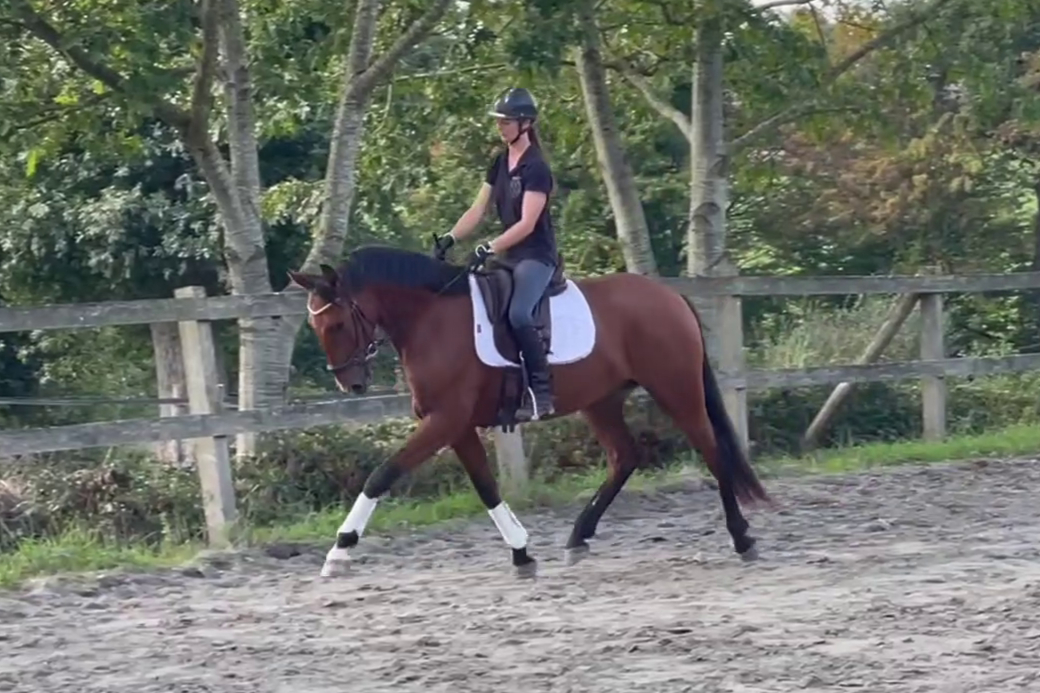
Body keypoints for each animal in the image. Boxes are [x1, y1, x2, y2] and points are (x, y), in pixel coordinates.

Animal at [287, 244, 770, 578]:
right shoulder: (455, 426)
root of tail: (669, 295)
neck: (430, 319)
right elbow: (485, 486)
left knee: (711, 449)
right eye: (315, 324)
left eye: (336, 324)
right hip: (601, 400)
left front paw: (340, 549)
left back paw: (742, 538)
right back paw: (578, 537)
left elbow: (382, 474)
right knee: (624, 456)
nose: (350, 384)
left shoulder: (444, 421)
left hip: (675, 388)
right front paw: (521, 552)